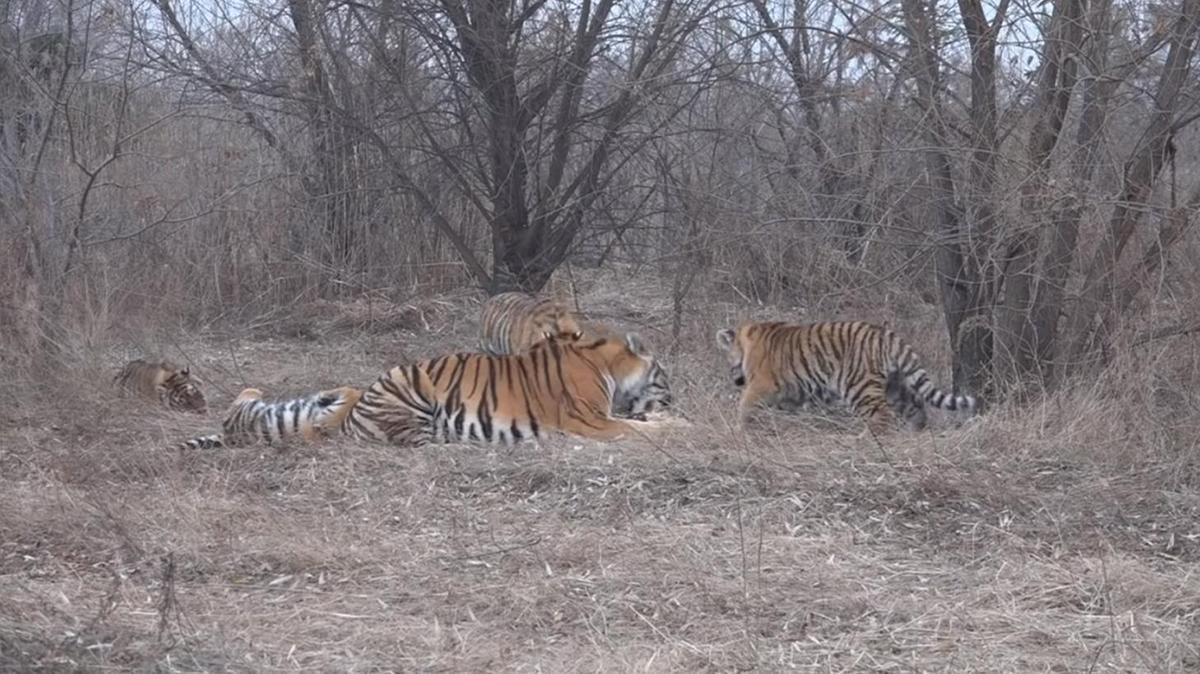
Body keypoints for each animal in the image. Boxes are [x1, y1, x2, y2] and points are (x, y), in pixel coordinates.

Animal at [343, 331, 676, 446]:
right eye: (664, 376)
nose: (673, 400)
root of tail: (352, 415)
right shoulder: (590, 419)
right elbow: (640, 429)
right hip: (411, 379)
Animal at [715, 321, 979, 436]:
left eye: (728, 360)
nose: (735, 379)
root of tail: (886, 334)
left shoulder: (760, 385)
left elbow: (745, 405)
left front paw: (740, 429)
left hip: (859, 386)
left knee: (881, 415)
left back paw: (864, 439)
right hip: (895, 386)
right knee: (916, 407)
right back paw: (915, 434)